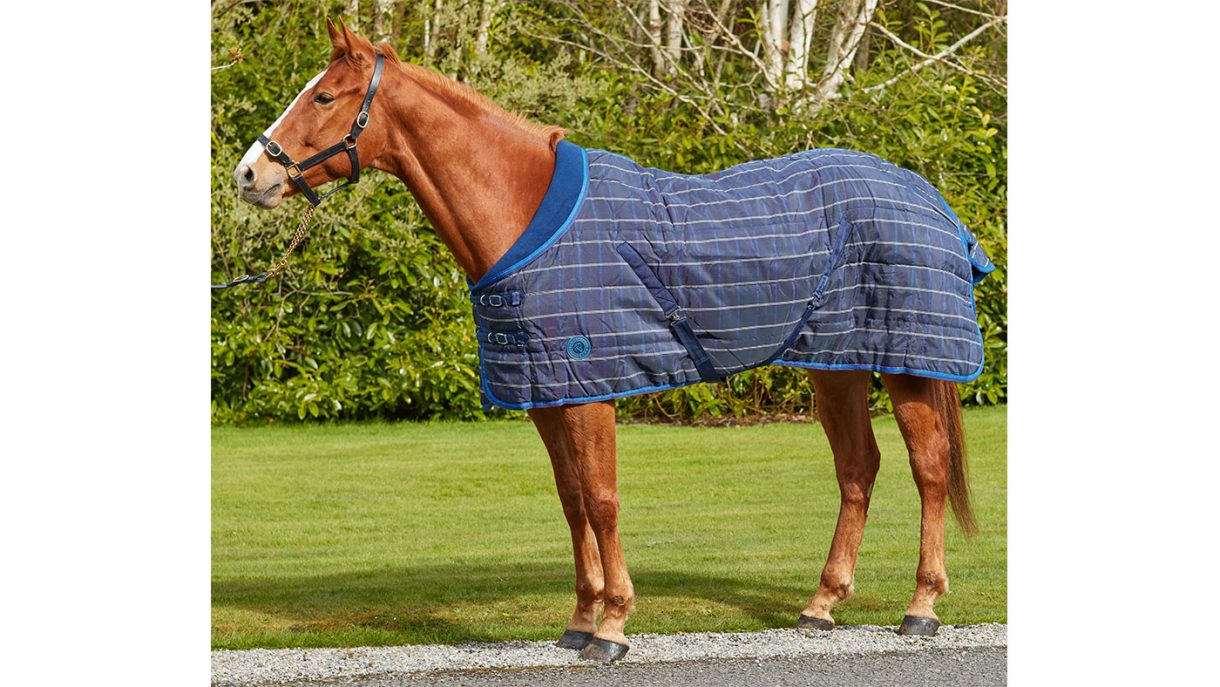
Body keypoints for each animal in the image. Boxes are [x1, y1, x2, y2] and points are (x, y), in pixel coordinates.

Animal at [232, 21, 993, 662]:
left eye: (324, 95)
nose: (248, 175)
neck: (524, 212)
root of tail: (927, 196)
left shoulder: (589, 386)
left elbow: (602, 499)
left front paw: (614, 626)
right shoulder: (545, 393)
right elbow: (572, 501)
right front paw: (578, 621)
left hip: (908, 361)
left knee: (928, 467)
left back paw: (921, 607)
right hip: (834, 362)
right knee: (858, 468)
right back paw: (821, 606)